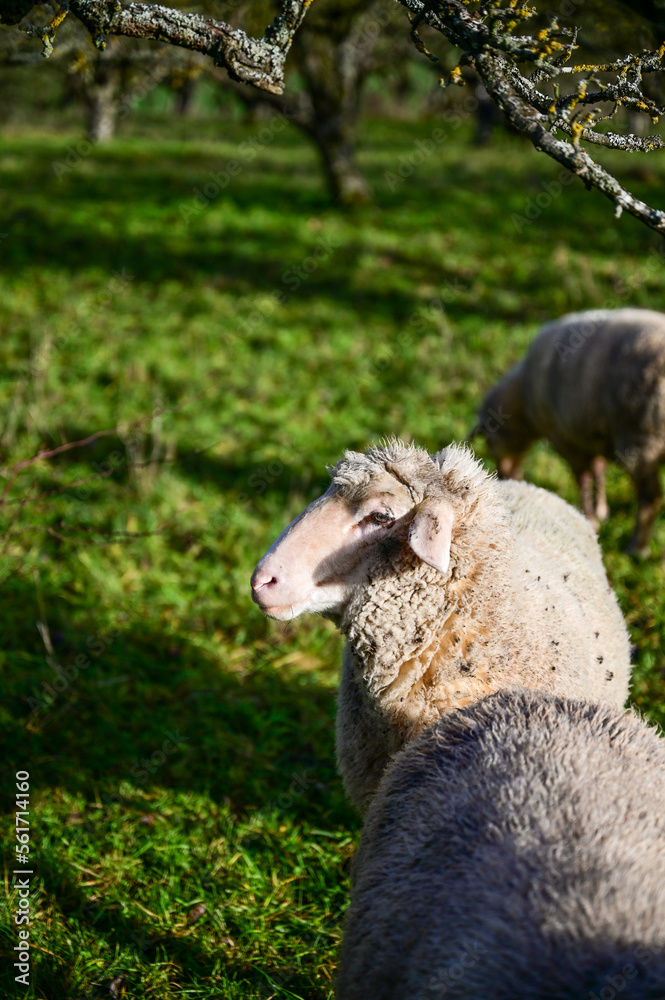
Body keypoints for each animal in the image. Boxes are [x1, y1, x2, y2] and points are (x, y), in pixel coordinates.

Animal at [473, 307, 665, 555]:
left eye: (489, 439)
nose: (505, 475)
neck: (524, 399)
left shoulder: (566, 438)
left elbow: (582, 477)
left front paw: (590, 519)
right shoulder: (587, 431)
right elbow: (598, 468)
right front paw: (601, 509)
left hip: (642, 440)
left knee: (651, 498)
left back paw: (637, 548)